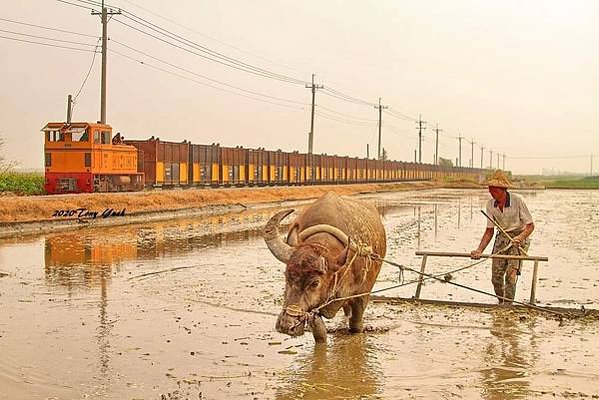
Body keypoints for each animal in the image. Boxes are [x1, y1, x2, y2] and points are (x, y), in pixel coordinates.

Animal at [264, 192, 386, 342]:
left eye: (315, 283)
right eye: (287, 276)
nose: (287, 325)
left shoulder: (362, 296)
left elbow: (356, 326)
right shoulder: (315, 310)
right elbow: (320, 334)